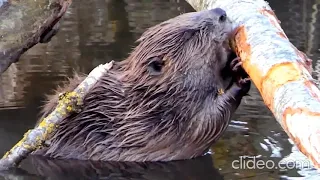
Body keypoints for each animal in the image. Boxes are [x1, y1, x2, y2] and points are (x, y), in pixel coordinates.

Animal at [33, 7, 251, 162]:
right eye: (192, 34)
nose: (221, 13)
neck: (148, 98)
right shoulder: (167, 120)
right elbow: (206, 125)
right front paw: (240, 77)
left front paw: (234, 64)